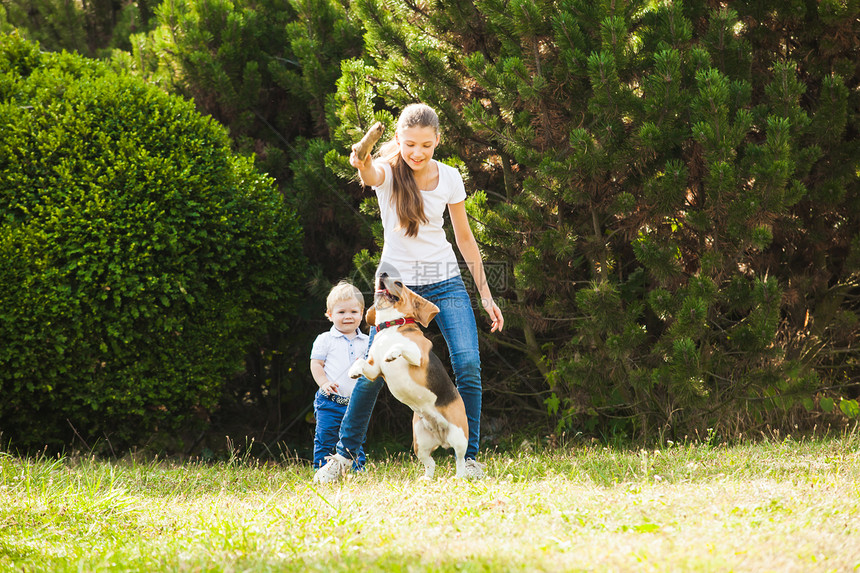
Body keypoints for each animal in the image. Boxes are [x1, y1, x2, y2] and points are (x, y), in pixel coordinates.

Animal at [346, 272, 466, 478]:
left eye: (399, 283)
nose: (383, 273)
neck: (390, 326)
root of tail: (442, 437)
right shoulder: (374, 370)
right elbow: (362, 362)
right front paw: (353, 370)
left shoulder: (419, 357)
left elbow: (402, 346)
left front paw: (392, 353)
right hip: (419, 442)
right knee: (431, 463)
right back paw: (426, 479)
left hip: (459, 438)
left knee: (460, 460)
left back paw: (459, 477)